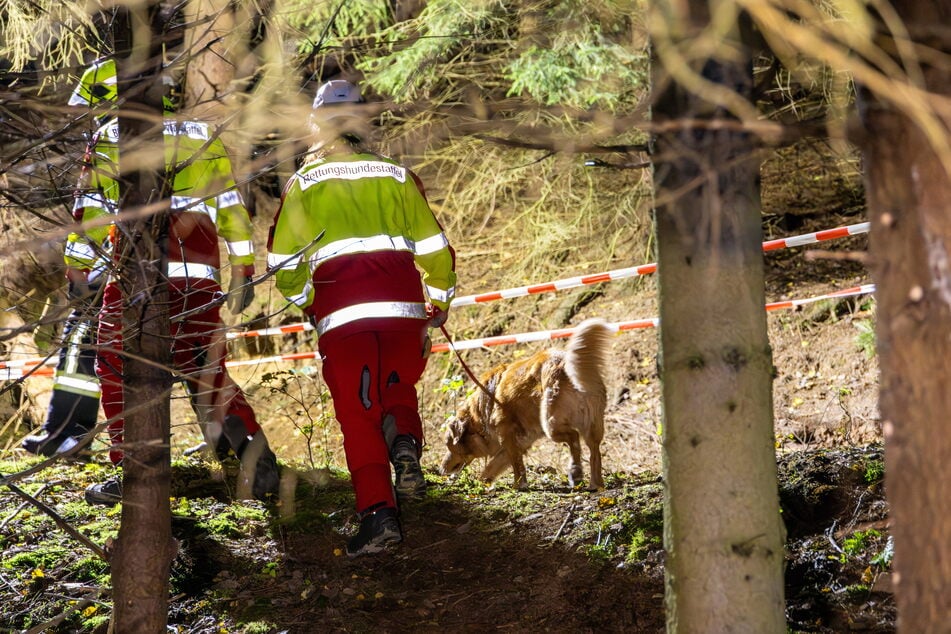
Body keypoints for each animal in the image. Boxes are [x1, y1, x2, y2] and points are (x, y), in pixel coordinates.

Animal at [442, 318, 612, 492]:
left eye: (448, 445)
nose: (442, 469)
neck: (480, 412)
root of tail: (565, 363)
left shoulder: (507, 435)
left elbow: (516, 464)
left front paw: (518, 485)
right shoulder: (522, 441)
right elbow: (491, 467)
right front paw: (485, 483)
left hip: (550, 424)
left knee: (574, 438)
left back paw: (575, 471)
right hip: (592, 426)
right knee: (594, 453)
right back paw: (595, 484)